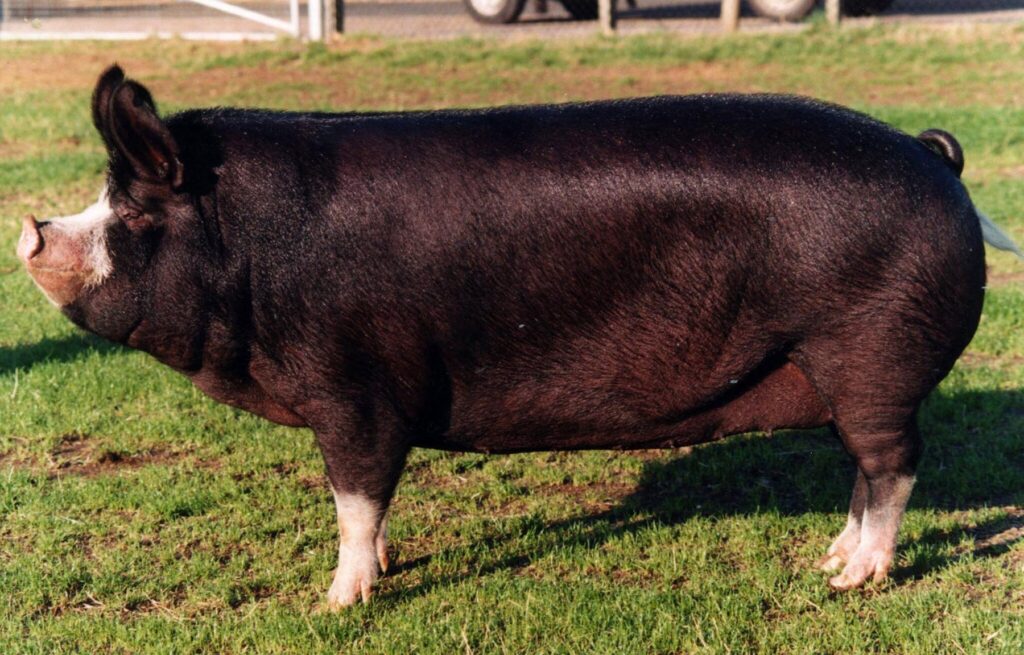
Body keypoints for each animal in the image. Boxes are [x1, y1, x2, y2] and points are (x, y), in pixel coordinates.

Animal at [18, 65, 1022, 608]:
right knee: (865, 465)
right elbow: (369, 500)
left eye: (136, 214)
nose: (29, 229)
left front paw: (336, 602)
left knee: (893, 463)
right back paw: (830, 558)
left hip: (870, 352)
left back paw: (853, 580)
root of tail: (933, 156)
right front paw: (384, 565)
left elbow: (355, 493)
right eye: (104, 201)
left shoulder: (353, 383)